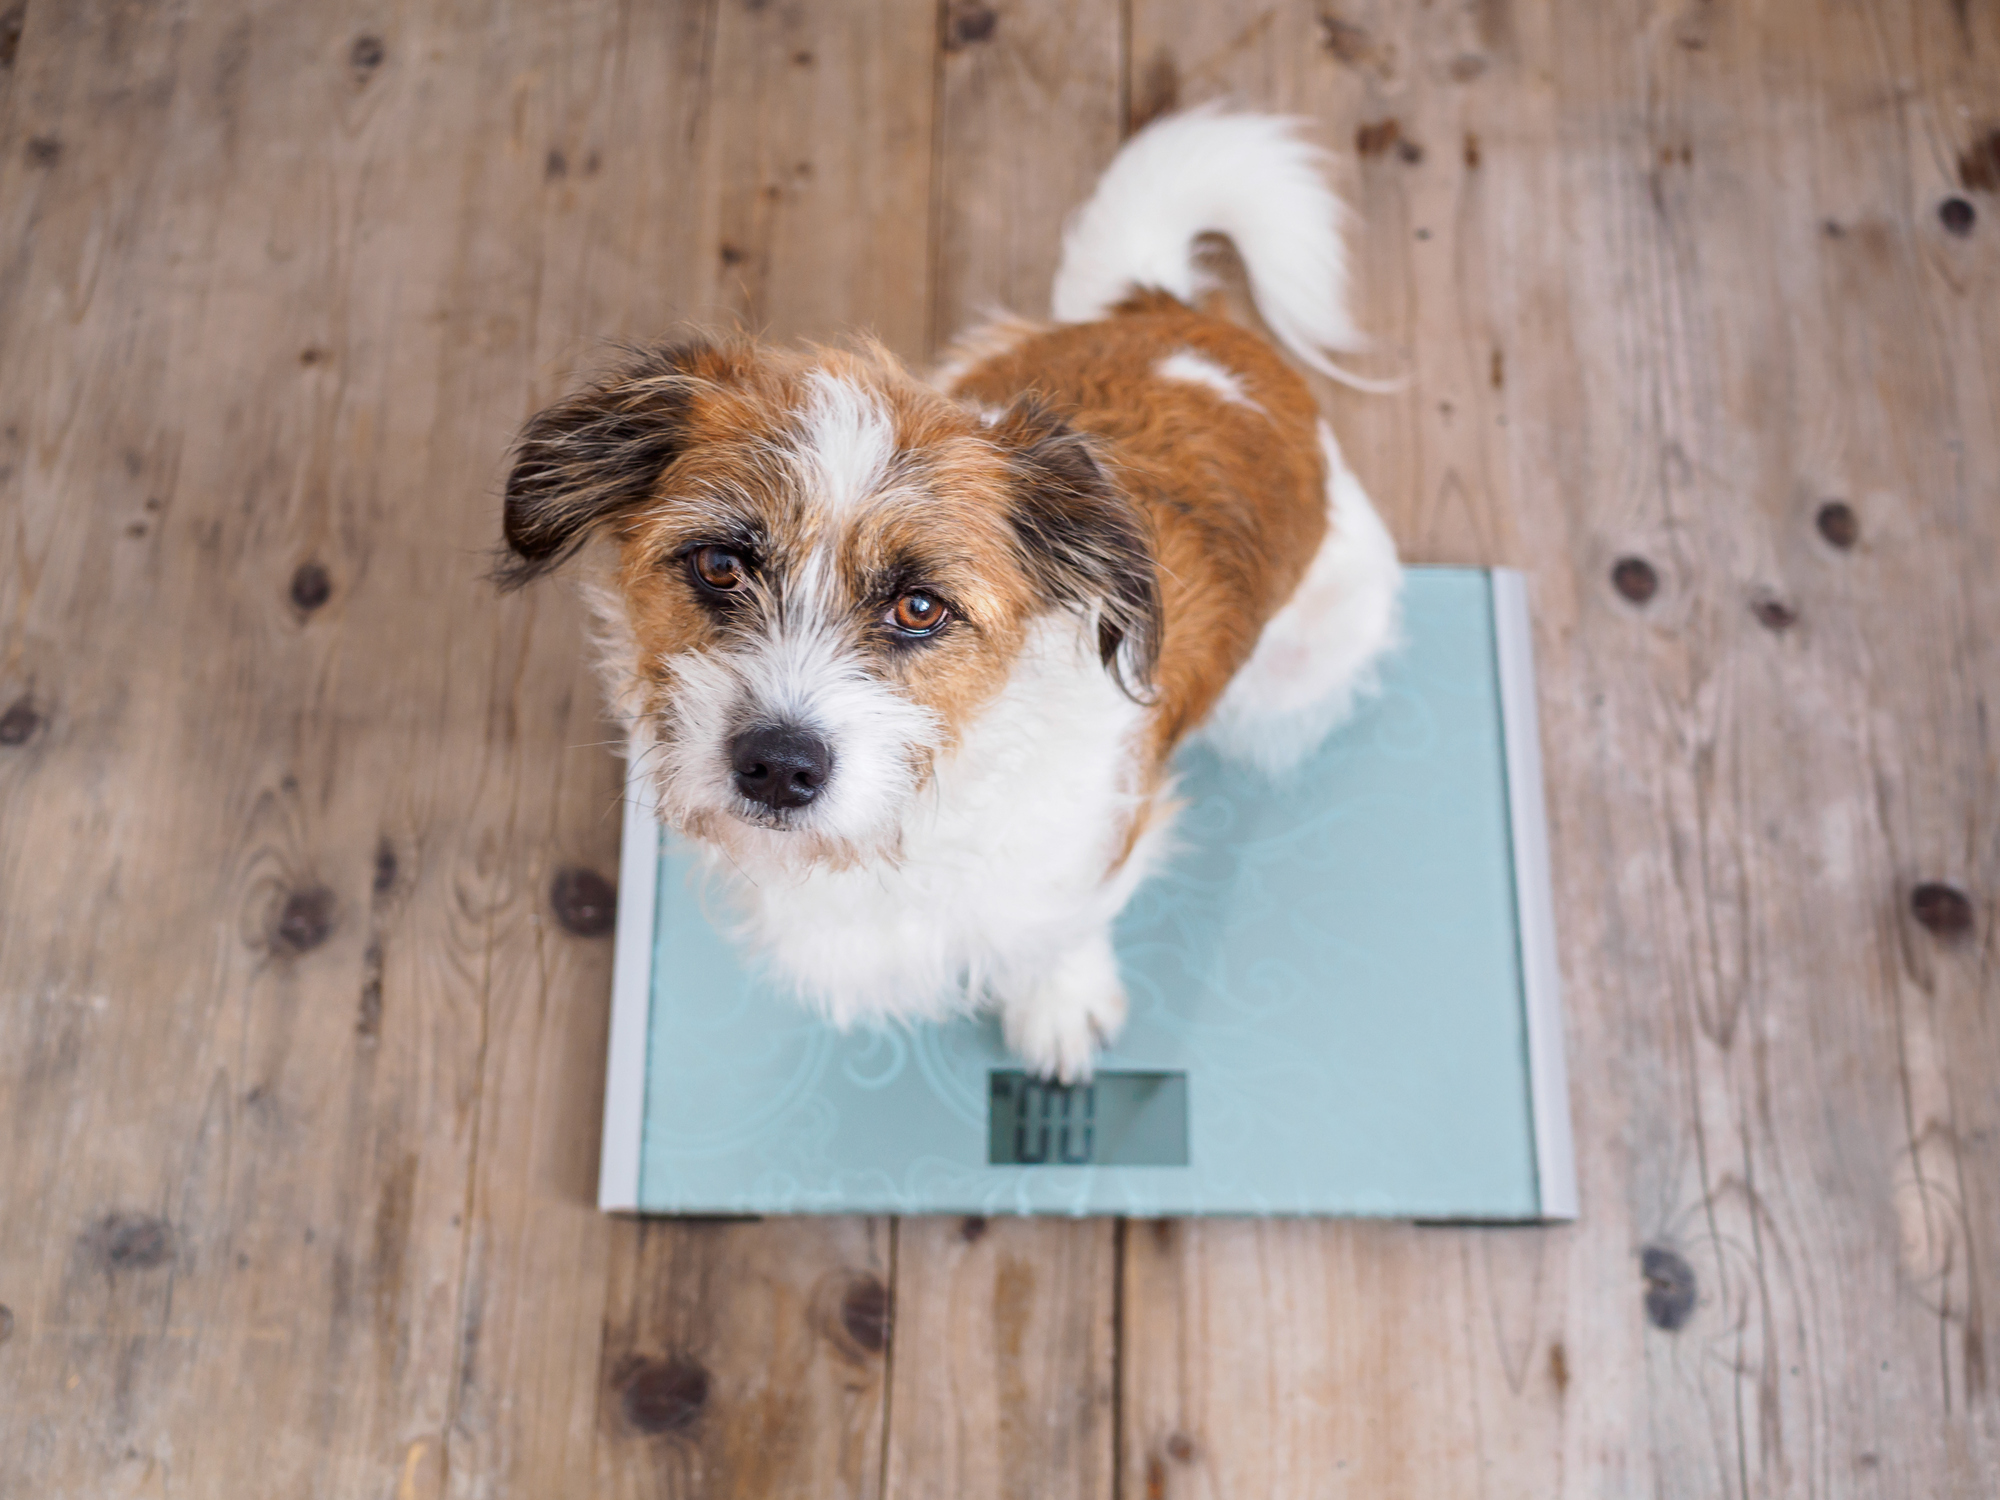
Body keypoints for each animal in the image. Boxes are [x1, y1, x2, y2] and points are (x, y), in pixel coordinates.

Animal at [500, 108, 1408, 1080]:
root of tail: (1180, 322)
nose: (778, 767)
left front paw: (1059, 1002)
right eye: (718, 565)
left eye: (920, 607)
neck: (918, 805)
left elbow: (1062, 927)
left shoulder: (1102, 839)